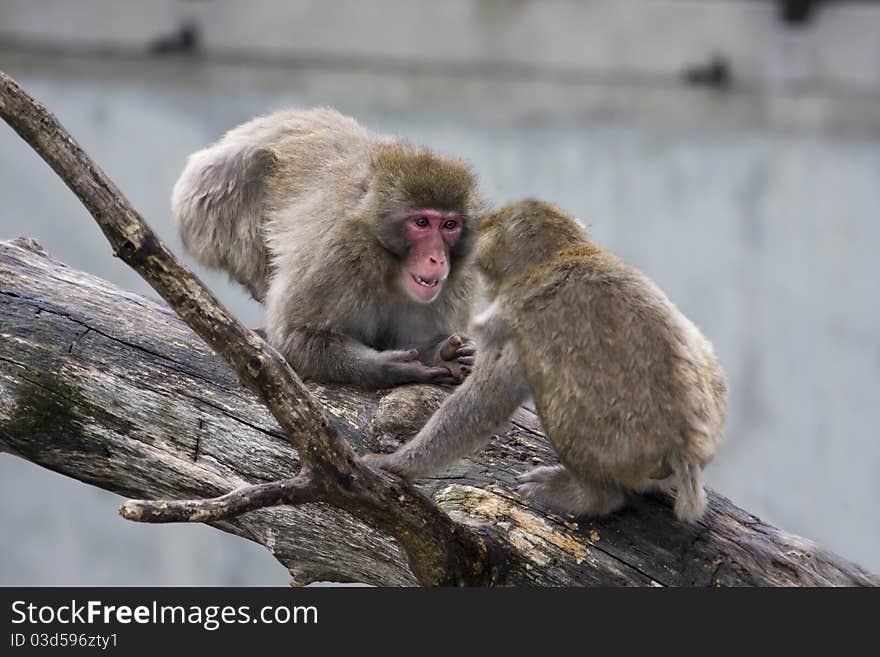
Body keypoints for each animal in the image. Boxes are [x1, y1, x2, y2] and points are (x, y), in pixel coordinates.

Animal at [171, 105, 482, 386]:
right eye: (422, 222)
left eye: (449, 225)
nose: (437, 259)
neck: (387, 265)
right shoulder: (332, 258)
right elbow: (294, 337)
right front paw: (385, 368)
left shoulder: (457, 283)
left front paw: (443, 353)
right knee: (251, 165)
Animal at [368, 197, 724, 520]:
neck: (560, 255)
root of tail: (686, 453)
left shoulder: (511, 320)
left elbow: (485, 401)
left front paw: (395, 464)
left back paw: (593, 497)